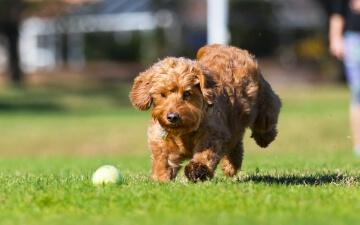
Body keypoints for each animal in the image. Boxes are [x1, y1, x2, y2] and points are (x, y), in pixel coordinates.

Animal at [129, 44, 282, 183]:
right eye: (162, 94)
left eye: (187, 93)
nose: (172, 117)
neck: (184, 132)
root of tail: (226, 47)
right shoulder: (161, 139)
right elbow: (163, 159)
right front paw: (161, 178)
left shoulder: (213, 133)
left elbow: (205, 153)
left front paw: (197, 170)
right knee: (235, 143)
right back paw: (231, 165)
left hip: (264, 103)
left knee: (267, 119)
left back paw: (264, 138)